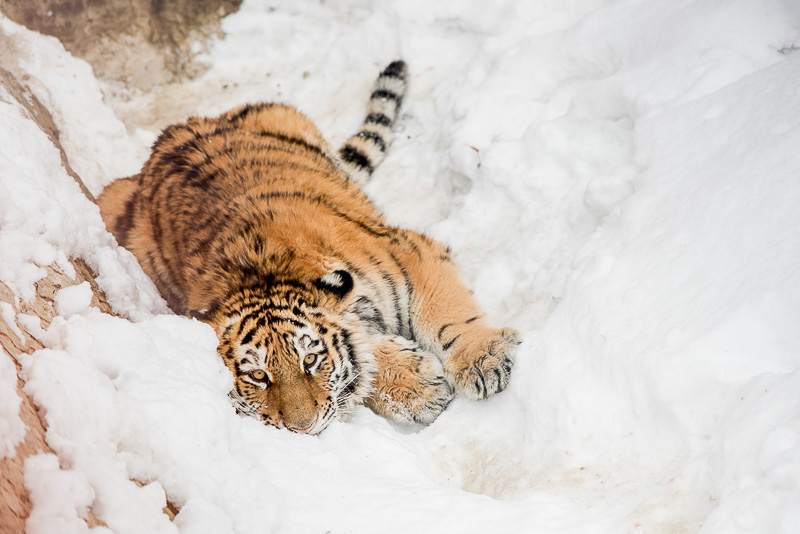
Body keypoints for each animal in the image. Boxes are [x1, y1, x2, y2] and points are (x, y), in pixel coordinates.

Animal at [97, 61, 519, 434]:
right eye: (258, 375)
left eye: (311, 360)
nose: (303, 428)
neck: (261, 273)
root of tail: (166, 139)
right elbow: (365, 359)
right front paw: (420, 390)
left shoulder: (408, 251)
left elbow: (446, 312)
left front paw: (483, 359)